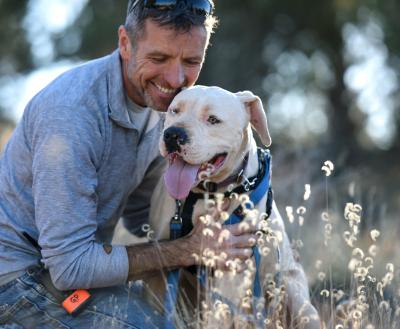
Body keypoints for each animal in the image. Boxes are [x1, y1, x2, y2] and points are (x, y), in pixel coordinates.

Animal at [146, 86, 318, 326]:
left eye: (213, 120)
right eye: (174, 110)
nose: (173, 134)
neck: (205, 194)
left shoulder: (230, 270)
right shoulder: (160, 262)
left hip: (297, 299)